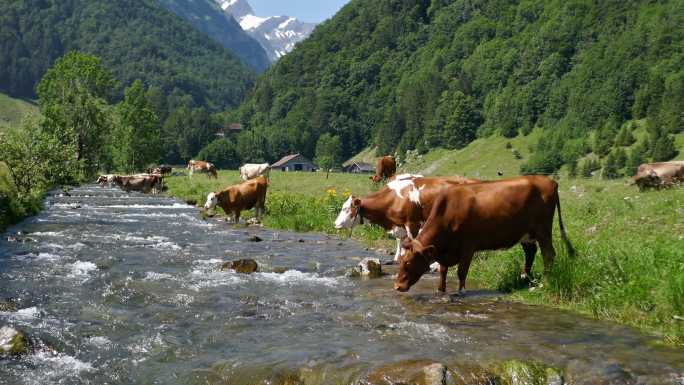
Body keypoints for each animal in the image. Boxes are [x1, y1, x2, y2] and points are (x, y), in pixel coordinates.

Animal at [334, 175, 478, 260]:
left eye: (346, 209)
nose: (335, 223)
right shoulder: (398, 224)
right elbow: (400, 241)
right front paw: (398, 257)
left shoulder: (412, 223)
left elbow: (413, 241)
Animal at [392, 176, 576, 292]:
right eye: (400, 262)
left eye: (408, 262)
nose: (397, 287)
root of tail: (549, 180)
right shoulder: (445, 251)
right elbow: (443, 270)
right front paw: (440, 290)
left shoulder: (468, 246)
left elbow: (461, 271)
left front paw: (461, 292)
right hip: (526, 233)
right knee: (531, 252)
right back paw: (526, 278)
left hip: (543, 229)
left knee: (548, 254)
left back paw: (544, 281)